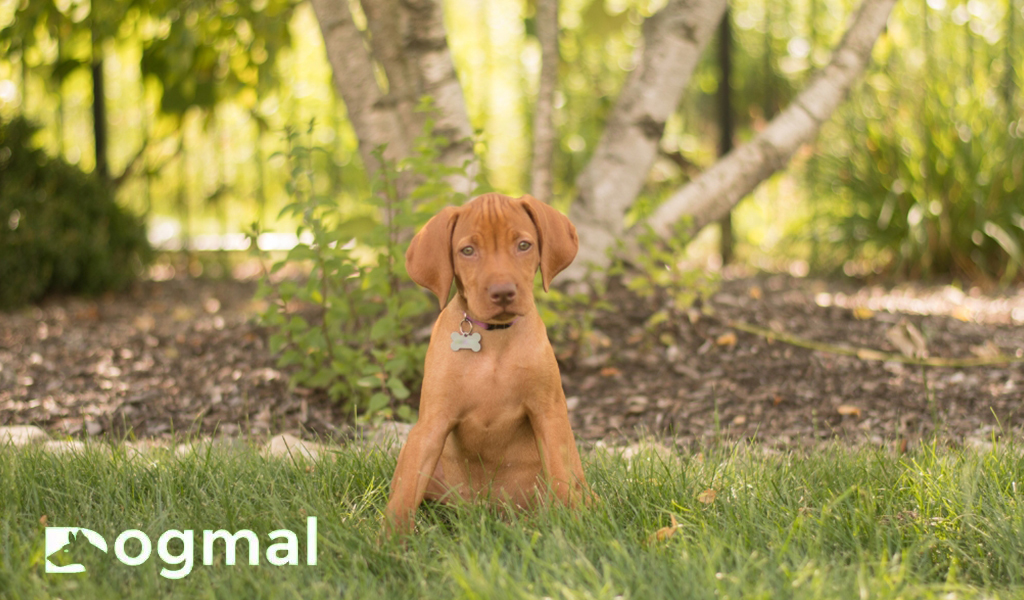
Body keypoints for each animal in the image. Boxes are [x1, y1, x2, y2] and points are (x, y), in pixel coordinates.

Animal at [385, 191, 593, 532]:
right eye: (468, 251)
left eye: (524, 245)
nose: (503, 293)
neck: (495, 338)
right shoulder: (431, 423)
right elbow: (405, 494)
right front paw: (390, 540)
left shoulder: (548, 414)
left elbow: (561, 477)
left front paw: (573, 527)